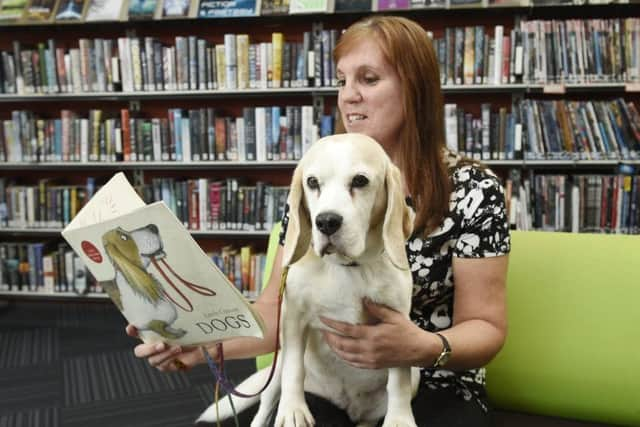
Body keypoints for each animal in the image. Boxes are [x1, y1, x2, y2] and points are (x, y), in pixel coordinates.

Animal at [200, 135, 420, 427]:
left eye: (360, 180)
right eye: (313, 182)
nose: (326, 221)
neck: (347, 269)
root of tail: (349, 408)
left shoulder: (397, 328)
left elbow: (398, 381)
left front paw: (399, 418)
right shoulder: (294, 319)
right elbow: (295, 369)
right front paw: (293, 409)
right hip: (276, 368)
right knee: (265, 405)